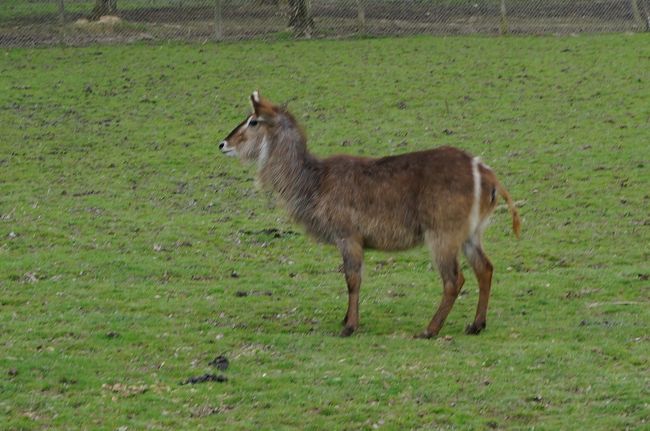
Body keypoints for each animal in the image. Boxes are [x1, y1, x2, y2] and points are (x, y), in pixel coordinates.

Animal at [220, 93, 520, 340]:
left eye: (253, 121)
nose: (223, 143)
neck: (313, 183)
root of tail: (486, 173)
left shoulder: (348, 235)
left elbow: (352, 280)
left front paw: (349, 326)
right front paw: (346, 319)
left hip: (442, 234)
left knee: (454, 280)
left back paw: (429, 330)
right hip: (471, 233)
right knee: (485, 268)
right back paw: (476, 325)